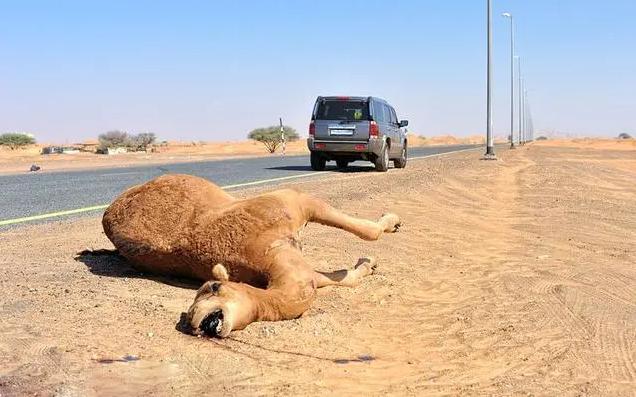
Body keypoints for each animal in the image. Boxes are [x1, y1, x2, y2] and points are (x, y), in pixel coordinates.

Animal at [104, 175, 402, 336]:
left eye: (214, 287)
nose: (194, 320)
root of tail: (108, 211)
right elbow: (345, 272)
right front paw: (371, 259)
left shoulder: (294, 202)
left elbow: (365, 237)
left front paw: (388, 230)